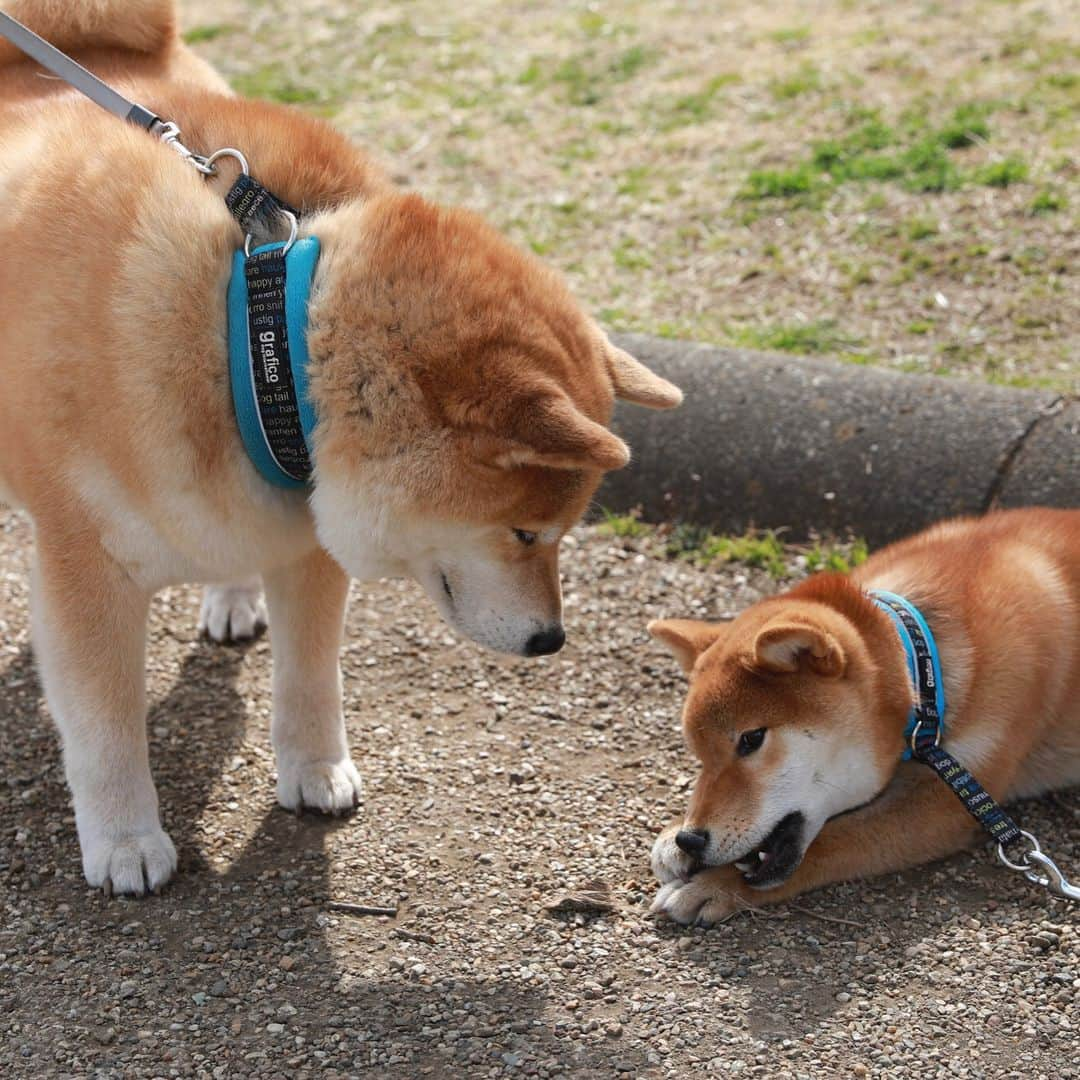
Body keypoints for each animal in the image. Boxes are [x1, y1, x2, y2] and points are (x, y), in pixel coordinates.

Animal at [0, 0, 678, 894]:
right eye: (526, 533)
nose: (551, 641)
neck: (255, 334)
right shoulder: (87, 567)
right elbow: (106, 726)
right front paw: (124, 839)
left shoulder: (305, 538)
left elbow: (309, 678)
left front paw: (315, 771)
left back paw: (231, 598)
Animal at [648, 509, 1080, 924]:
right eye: (699, 755)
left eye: (751, 740)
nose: (691, 840)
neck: (922, 670)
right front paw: (674, 834)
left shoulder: (946, 803)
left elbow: (832, 840)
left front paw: (714, 886)